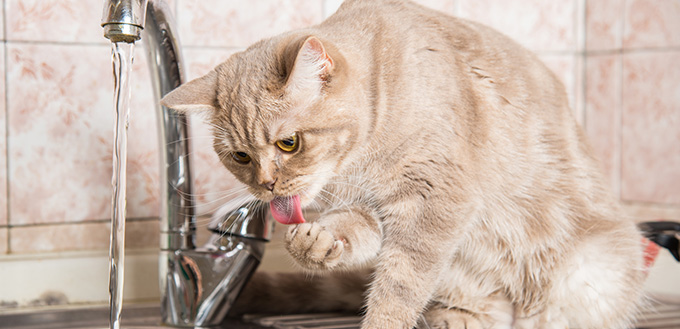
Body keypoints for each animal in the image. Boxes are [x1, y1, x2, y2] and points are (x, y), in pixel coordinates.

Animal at [161, 0, 648, 328]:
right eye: (240, 156)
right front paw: (317, 242)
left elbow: (398, 287)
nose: (266, 185)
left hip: (589, 276)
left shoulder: (437, 203)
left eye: (289, 143)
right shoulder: (374, 210)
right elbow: (356, 236)